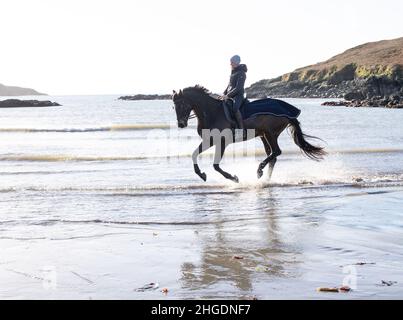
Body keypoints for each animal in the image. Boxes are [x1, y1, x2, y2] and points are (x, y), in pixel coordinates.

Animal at [172, 85, 326, 182]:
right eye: (174, 106)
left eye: (182, 105)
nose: (181, 124)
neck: (212, 112)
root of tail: (289, 112)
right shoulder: (210, 140)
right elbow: (194, 154)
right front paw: (201, 174)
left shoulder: (222, 142)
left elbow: (216, 165)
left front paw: (233, 178)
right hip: (264, 135)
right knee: (273, 155)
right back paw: (265, 178)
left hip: (270, 133)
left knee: (276, 152)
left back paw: (259, 171)